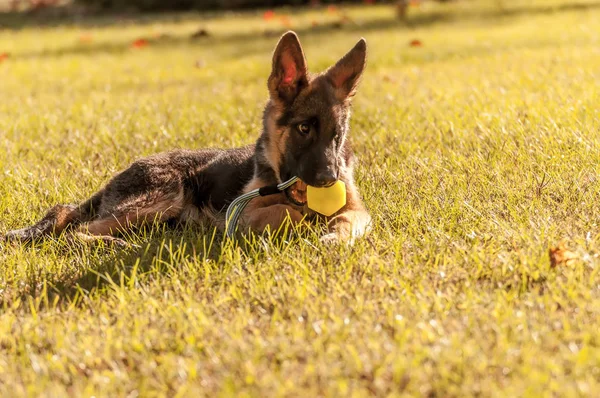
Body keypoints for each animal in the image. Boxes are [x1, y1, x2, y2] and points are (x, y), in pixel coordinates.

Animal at [3, 31, 370, 246]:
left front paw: (334, 234)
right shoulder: (242, 214)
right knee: (75, 230)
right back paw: (114, 244)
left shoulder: (358, 209)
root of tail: (115, 179)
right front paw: (307, 220)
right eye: (303, 129)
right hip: (163, 196)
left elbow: (347, 217)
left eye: (337, 135)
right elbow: (287, 212)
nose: (329, 179)